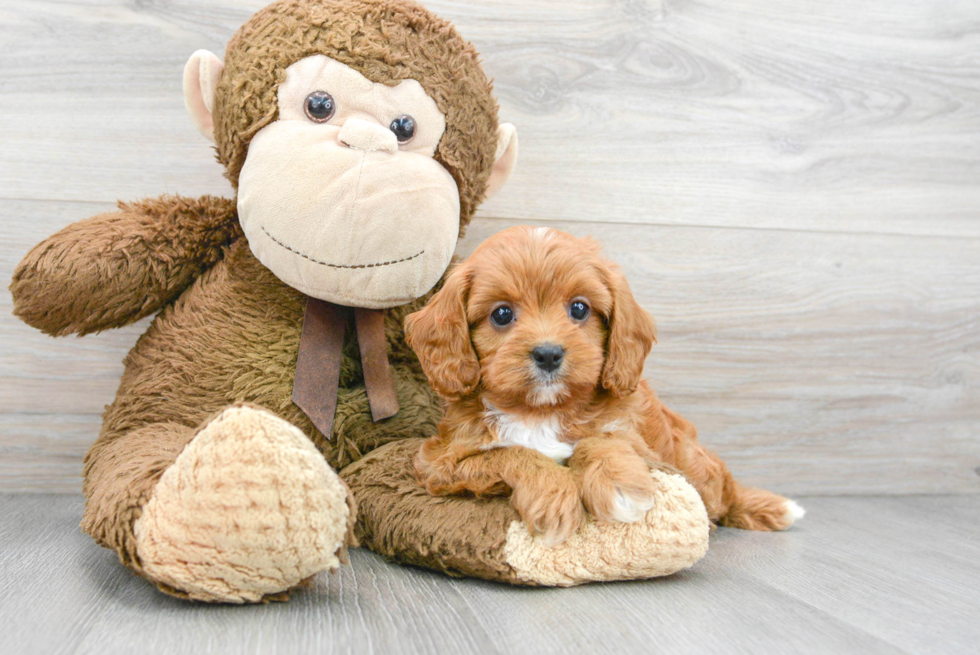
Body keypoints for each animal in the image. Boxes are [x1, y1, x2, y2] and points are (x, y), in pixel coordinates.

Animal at [402, 228, 800, 544]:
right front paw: (553, 496)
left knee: (723, 495)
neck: (542, 411)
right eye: (501, 314)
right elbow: (510, 453)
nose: (548, 354)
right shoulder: (440, 463)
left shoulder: (637, 439)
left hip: (694, 465)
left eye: (579, 309)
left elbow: (600, 438)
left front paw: (618, 486)